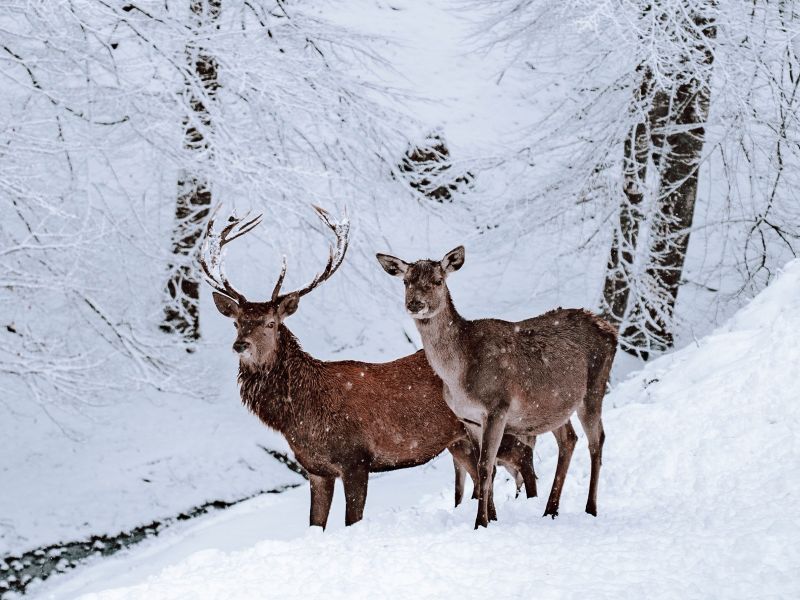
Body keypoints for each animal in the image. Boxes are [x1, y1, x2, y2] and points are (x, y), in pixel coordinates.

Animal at [202, 209, 536, 528]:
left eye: (271, 323)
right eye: (237, 323)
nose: (240, 345)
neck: (300, 414)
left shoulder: (355, 459)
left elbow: (352, 521)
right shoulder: (315, 469)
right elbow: (315, 525)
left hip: (501, 421)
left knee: (523, 459)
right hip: (459, 442)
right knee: (486, 476)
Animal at [376, 246, 620, 528]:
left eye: (438, 281)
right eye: (406, 281)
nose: (415, 304)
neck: (457, 378)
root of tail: (612, 331)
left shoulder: (497, 407)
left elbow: (483, 466)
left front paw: (480, 522)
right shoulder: (469, 419)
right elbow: (487, 467)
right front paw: (492, 518)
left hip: (594, 387)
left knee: (597, 441)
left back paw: (590, 508)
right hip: (554, 406)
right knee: (569, 439)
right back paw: (550, 509)